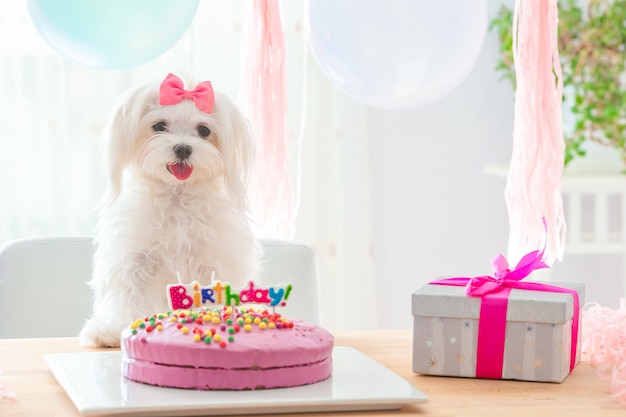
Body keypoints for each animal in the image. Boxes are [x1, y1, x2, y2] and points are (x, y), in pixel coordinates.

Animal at [81, 73, 260, 346]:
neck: (177, 197)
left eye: (204, 130)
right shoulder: (133, 257)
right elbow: (126, 290)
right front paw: (112, 328)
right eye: (159, 126)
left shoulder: (213, 260)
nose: (183, 148)